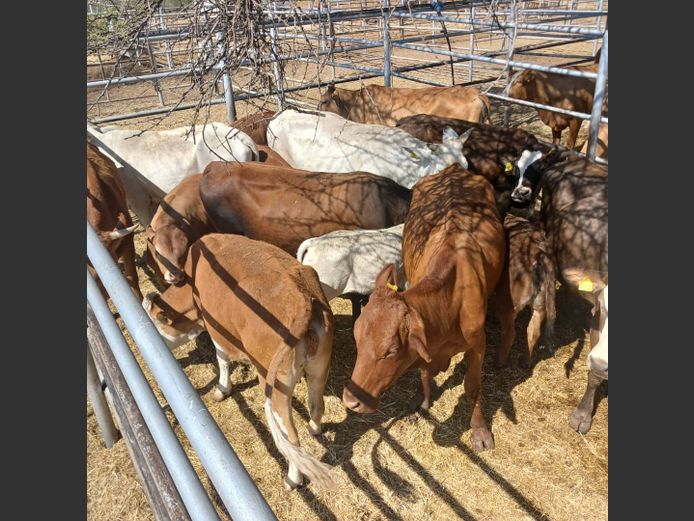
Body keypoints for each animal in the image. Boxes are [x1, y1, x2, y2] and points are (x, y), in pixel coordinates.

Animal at [142, 234, 337, 490]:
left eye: (155, 325)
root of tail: (302, 296)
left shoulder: (216, 328)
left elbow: (222, 359)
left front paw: (222, 389)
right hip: (319, 367)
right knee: (317, 405)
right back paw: (314, 429)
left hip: (277, 386)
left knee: (290, 436)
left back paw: (293, 479)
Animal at [342, 164, 506, 451]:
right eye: (357, 338)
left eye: (391, 350)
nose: (351, 401)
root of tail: (454, 170)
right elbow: (424, 370)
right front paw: (424, 401)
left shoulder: (479, 343)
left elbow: (473, 386)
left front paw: (480, 431)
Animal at [494, 213, 556, 368]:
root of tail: (539, 253)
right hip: (540, 305)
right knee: (533, 331)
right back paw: (526, 362)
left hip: (507, 302)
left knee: (510, 333)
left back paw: (499, 362)